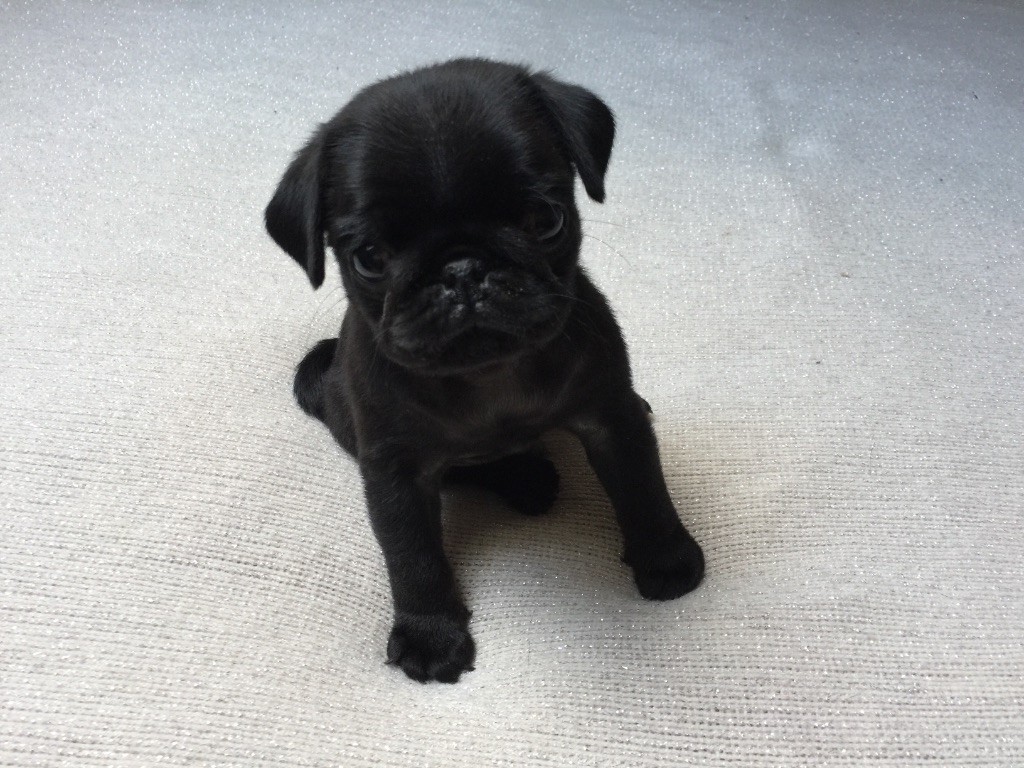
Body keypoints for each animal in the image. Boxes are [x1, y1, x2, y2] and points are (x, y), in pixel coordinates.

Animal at [265, 58, 704, 683]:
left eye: (546, 219)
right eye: (369, 259)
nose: (463, 270)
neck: (493, 378)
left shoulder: (610, 420)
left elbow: (644, 488)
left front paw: (666, 558)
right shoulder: (395, 473)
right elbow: (414, 557)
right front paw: (430, 635)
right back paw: (525, 477)